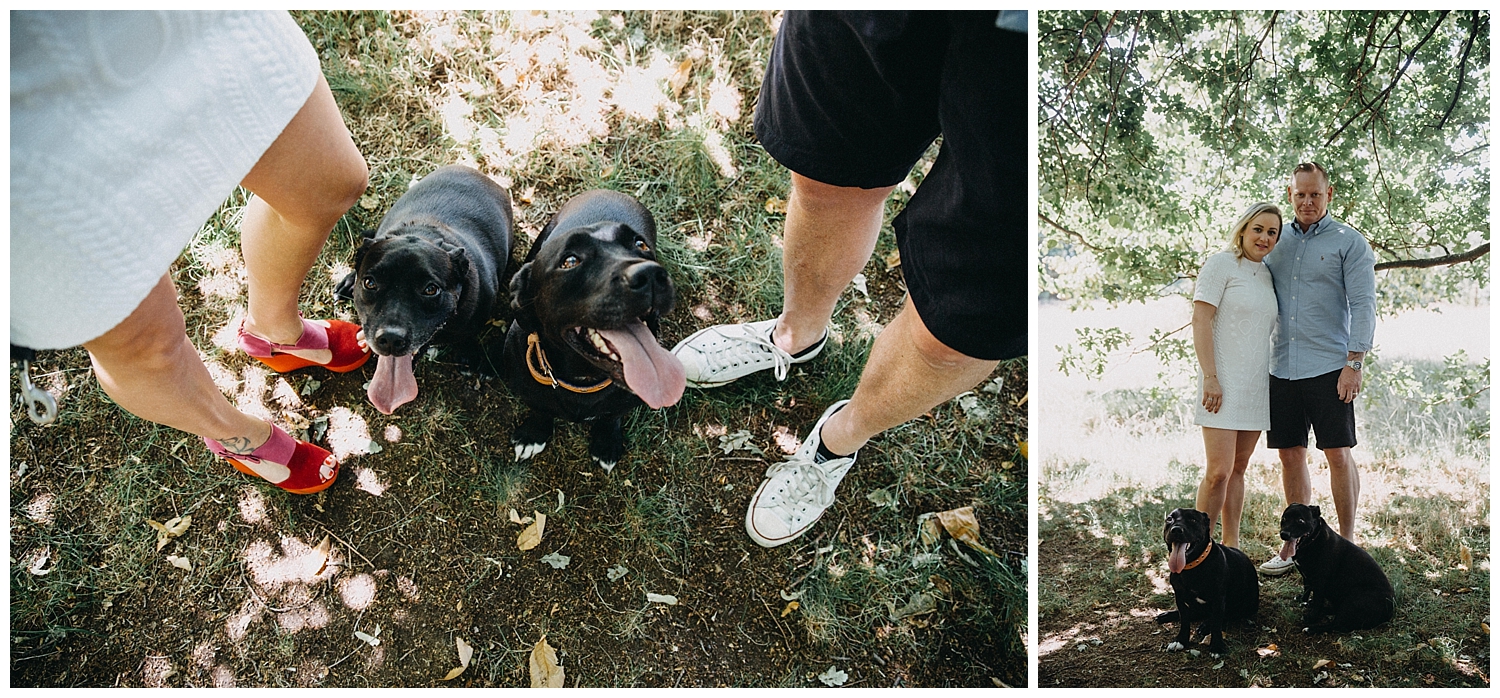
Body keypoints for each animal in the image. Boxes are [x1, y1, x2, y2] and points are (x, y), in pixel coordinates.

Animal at [334, 164, 510, 414]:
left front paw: (467, 355)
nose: (390, 339)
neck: (423, 232)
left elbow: (469, 335)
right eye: (370, 283)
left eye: (430, 289)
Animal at [507, 189, 687, 468]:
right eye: (570, 260)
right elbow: (540, 409)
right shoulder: (529, 392)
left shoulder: (625, 403)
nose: (651, 275)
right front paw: (533, 434)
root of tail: (610, 191)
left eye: (640, 245)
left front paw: (606, 442)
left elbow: (610, 417)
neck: (583, 380)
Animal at [1152, 507, 1260, 654]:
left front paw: (1217, 646)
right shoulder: (1180, 598)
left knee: (1228, 616)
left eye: (1193, 520)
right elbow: (1184, 620)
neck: (1192, 566)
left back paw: (1205, 625)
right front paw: (1180, 640)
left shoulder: (1218, 600)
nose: (1176, 529)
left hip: (1245, 605)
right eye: (1169, 519)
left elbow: (1217, 623)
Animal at [1278, 501, 1392, 630]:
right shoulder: (1306, 576)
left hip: (1354, 598)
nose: (1284, 534)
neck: (1313, 540)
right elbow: (1306, 590)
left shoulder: (1320, 582)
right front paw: (1303, 601)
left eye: (1300, 520)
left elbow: (1318, 601)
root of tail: (1390, 610)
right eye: (1284, 518)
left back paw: (1311, 628)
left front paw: (1312, 617)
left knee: (1336, 625)